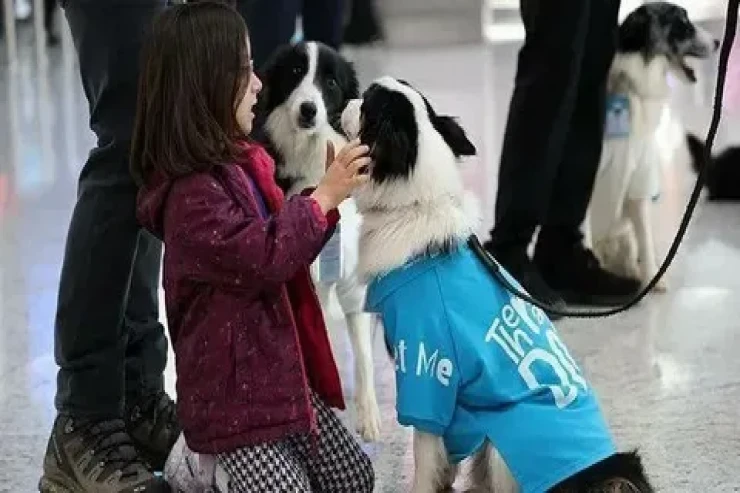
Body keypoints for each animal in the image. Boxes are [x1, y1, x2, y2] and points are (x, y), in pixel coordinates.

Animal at [253, 40, 382, 440]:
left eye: (330, 81)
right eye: (295, 73)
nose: (308, 109)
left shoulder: (353, 281)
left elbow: (364, 355)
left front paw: (368, 416)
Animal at [342, 77, 652, 492]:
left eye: (365, 105)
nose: (346, 99)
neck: (421, 201)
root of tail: (601, 475)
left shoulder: (425, 370)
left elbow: (425, 457)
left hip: (508, 443)